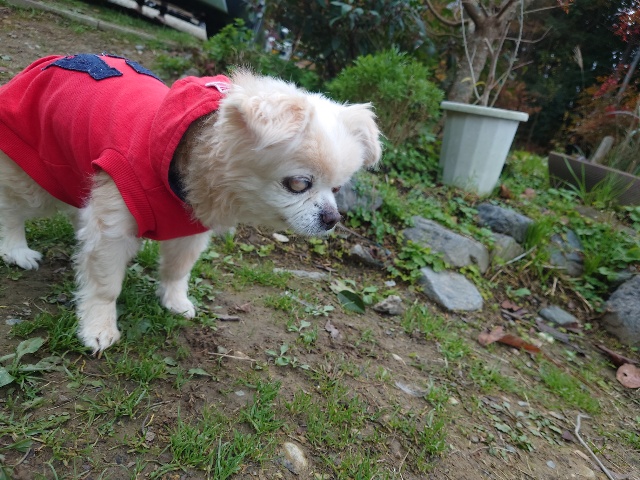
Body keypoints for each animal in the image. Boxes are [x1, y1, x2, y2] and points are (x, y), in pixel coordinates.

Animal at [0, 54, 381, 354]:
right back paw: (17, 250)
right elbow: (105, 284)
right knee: (12, 208)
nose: (332, 218)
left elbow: (177, 270)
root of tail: (50, 61)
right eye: (299, 184)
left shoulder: (190, 232)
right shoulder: (113, 228)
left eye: (337, 188)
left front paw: (175, 302)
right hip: (38, 177)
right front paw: (98, 327)